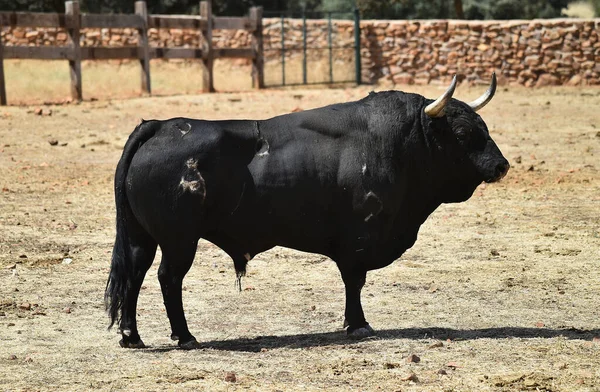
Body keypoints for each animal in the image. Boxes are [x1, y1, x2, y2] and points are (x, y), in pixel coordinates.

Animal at [106, 75, 506, 348]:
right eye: (461, 131)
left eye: (484, 127)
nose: (501, 165)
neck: (403, 144)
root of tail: (160, 126)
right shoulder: (357, 241)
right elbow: (354, 282)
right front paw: (358, 324)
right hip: (179, 241)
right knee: (168, 278)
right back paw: (185, 335)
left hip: (142, 237)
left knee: (135, 274)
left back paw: (131, 335)